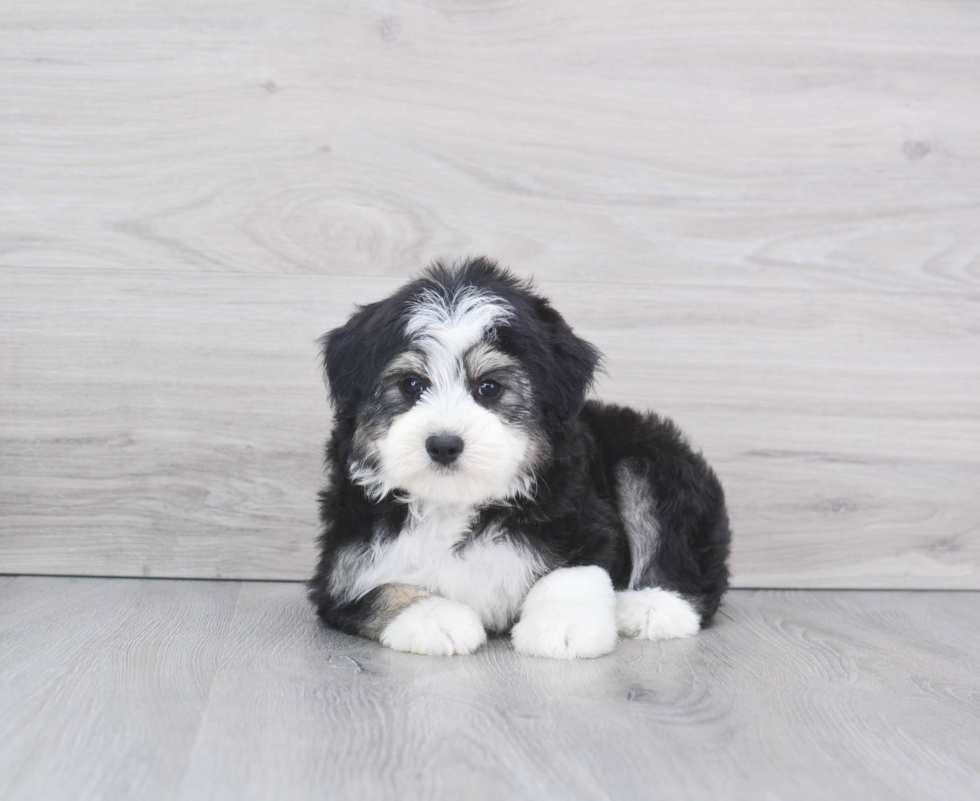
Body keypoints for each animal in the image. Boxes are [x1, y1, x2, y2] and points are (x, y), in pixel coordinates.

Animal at [310, 260, 732, 660]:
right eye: (412, 385)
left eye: (490, 387)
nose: (444, 444)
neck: (456, 504)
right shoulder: (343, 566)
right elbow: (380, 591)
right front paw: (436, 618)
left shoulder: (580, 521)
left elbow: (573, 572)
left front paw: (563, 626)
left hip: (650, 458)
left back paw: (651, 605)